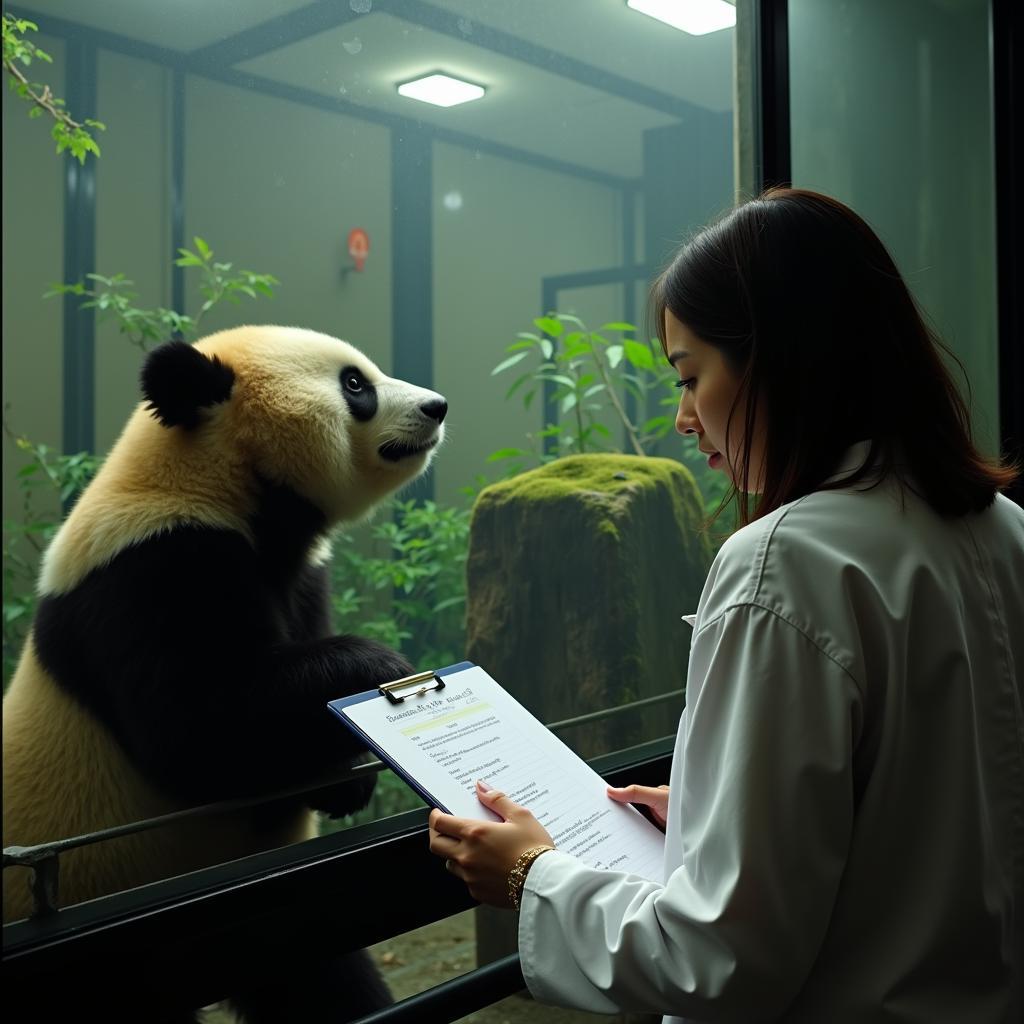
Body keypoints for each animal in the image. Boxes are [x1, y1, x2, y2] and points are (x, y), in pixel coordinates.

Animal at [2, 323, 448, 1019]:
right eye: (355, 384)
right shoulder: (149, 568)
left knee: (320, 977)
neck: (213, 477)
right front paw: (379, 669)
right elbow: (194, 733)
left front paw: (345, 777)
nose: (436, 407)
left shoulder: (300, 576)